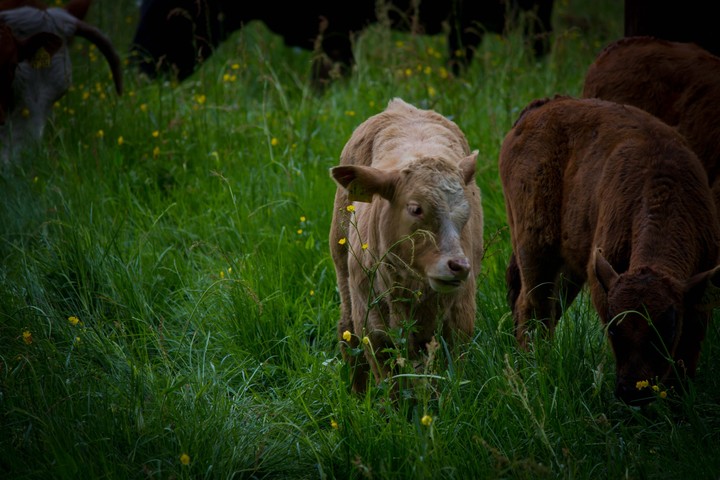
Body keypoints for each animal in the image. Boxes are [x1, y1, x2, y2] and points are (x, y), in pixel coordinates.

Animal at [329, 98, 483, 394]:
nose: (459, 266)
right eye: (415, 209)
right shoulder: (371, 325)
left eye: (466, 211)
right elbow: (392, 387)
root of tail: (402, 107)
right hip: (341, 265)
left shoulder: (461, 318)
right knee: (347, 330)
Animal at [499, 95, 720, 405]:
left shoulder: (698, 294)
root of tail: (539, 109)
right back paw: (536, 366)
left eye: (667, 326)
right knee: (532, 307)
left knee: (549, 306)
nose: (631, 392)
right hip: (535, 247)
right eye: (614, 328)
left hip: (567, 265)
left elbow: (687, 354)